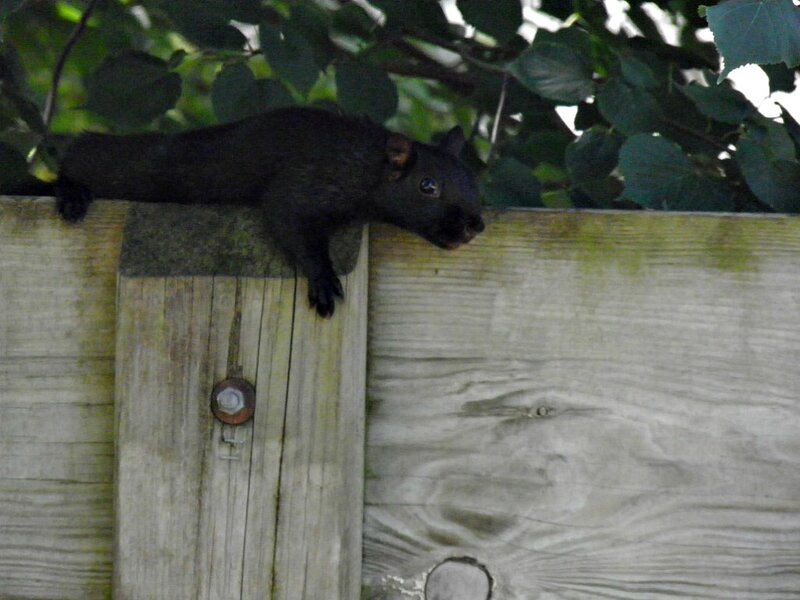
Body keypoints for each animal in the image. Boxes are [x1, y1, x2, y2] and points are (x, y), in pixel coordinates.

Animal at [54, 107, 485, 317]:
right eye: (428, 186)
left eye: (472, 180)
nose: (475, 226)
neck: (366, 166)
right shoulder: (303, 184)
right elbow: (289, 222)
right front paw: (323, 281)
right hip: (139, 169)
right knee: (78, 158)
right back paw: (71, 193)